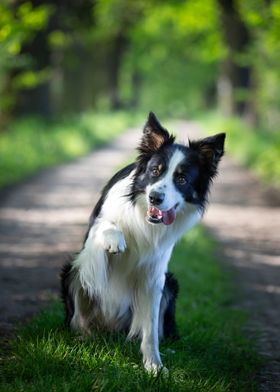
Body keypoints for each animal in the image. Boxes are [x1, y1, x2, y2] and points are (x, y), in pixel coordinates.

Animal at [61, 112, 225, 374]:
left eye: (182, 178)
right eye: (155, 171)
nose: (155, 197)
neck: (143, 217)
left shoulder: (154, 276)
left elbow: (150, 329)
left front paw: (154, 367)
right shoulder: (89, 251)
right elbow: (105, 226)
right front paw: (115, 239)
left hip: (170, 284)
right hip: (70, 275)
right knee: (79, 321)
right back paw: (85, 339)